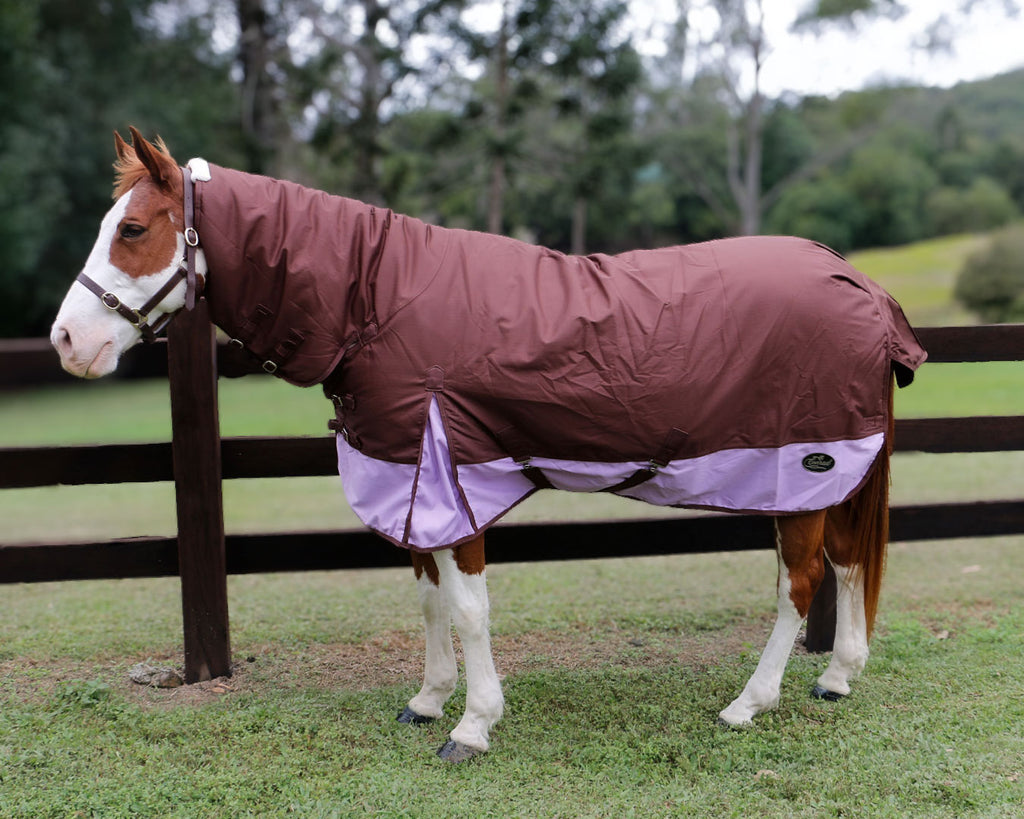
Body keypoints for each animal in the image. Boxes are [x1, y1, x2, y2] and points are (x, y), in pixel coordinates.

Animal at [51, 128, 926, 762]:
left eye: (133, 228)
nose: (66, 341)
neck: (375, 298)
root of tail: (864, 288)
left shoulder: (453, 478)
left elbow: (469, 607)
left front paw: (473, 723)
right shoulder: (410, 481)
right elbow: (430, 598)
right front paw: (428, 698)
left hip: (800, 472)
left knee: (800, 582)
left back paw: (749, 701)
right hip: (830, 480)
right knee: (847, 564)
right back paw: (838, 677)